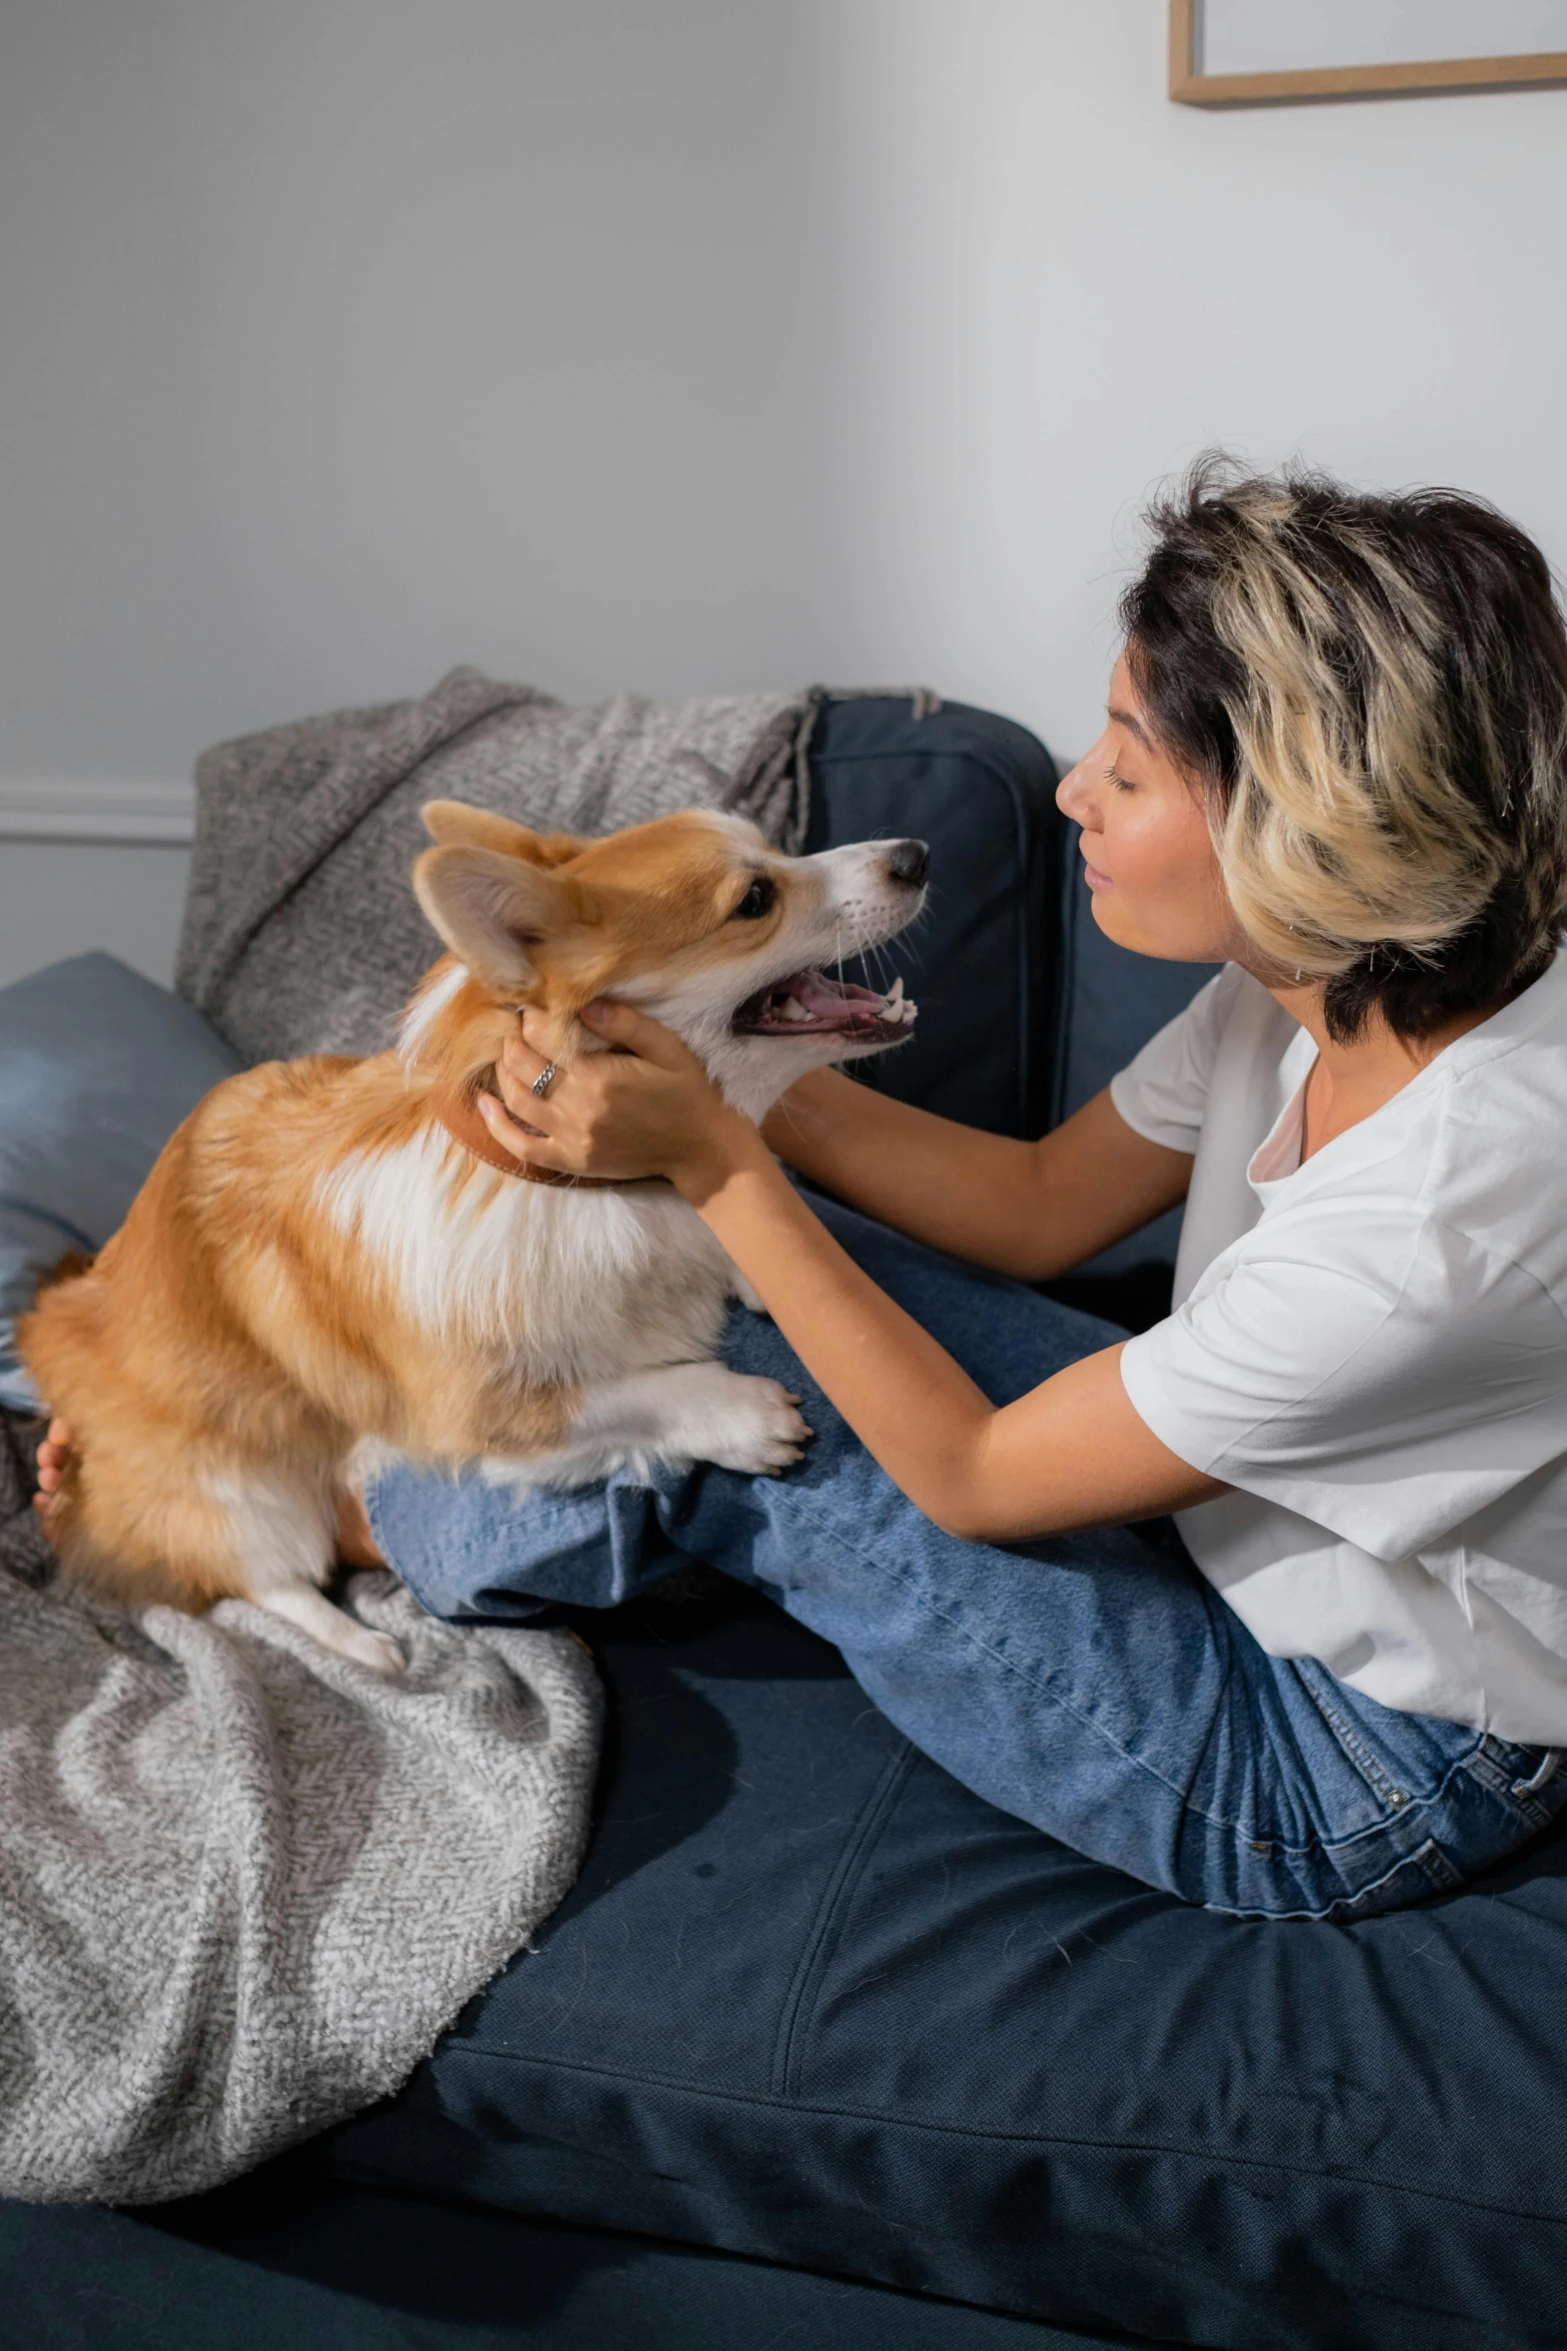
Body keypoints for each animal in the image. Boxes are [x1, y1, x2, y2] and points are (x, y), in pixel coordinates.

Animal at [24, 804, 925, 1673]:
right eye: (755, 899)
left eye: (776, 850)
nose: (914, 855)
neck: (598, 1188)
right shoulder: (474, 1412)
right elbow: (621, 1396)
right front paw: (739, 1412)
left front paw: (751, 1267)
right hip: (243, 1483)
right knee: (259, 1580)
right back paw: (363, 1646)